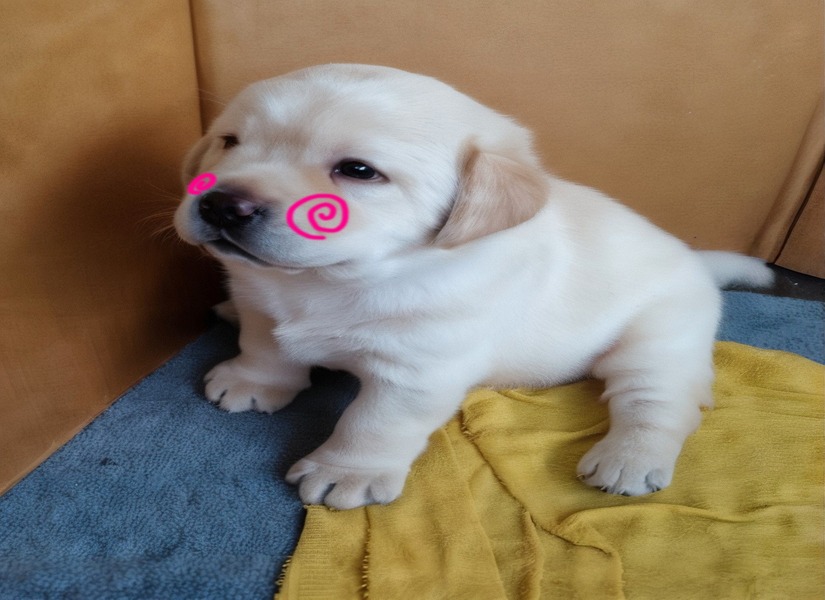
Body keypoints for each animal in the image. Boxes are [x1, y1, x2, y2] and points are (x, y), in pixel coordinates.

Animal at [174, 64, 773, 509]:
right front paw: (251, 381)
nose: (222, 204)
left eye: (358, 170)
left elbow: (374, 422)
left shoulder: (417, 370)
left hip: (658, 335)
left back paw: (630, 458)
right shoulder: (263, 305)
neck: (330, 281)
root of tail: (694, 259)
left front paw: (346, 471)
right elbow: (264, 346)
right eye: (229, 141)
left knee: (659, 399)